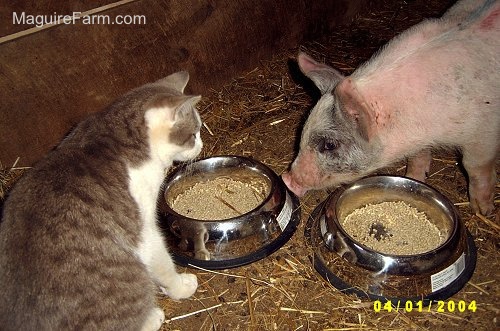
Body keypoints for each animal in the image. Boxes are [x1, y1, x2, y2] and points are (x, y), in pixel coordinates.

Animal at [0, 71, 203, 330]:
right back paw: (152, 317)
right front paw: (180, 287)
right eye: (193, 134)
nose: (201, 145)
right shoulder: (144, 230)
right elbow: (163, 262)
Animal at [284, 0, 498, 215]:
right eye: (303, 132)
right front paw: (414, 178)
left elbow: (474, 166)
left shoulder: (485, 135)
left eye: (329, 144)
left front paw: (483, 210)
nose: (287, 179)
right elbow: (417, 157)